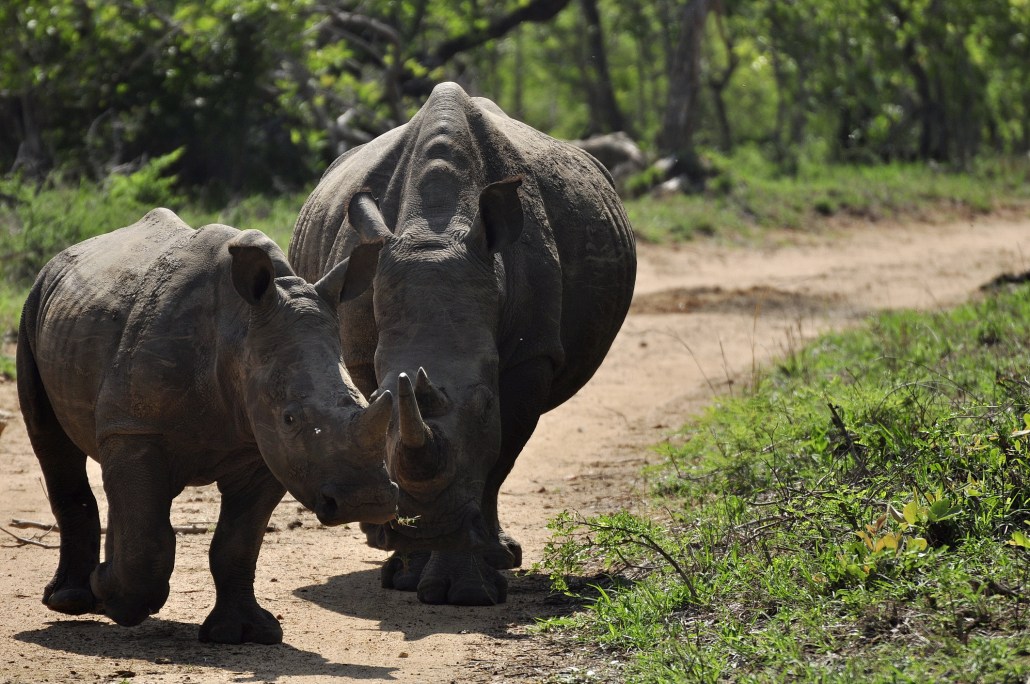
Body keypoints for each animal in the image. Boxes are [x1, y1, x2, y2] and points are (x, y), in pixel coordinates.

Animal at [17, 208, 397, 643]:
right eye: (290, 418)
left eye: (366, 402)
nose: (366, 500)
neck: (237, 329)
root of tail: (63, 258)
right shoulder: (137, 428)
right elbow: (149, 538)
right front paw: (117, 601)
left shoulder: (263, 449)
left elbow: (237, 544)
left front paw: (243, 633)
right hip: (34, 306)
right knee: (52, 444)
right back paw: (73, 602)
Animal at [290, 82, 636, 605]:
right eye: (379, 394)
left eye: (485, 401)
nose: (423, 526)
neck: (434, 230)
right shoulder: (364, 345)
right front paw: (409, 571)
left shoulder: (532, 354)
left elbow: (498, 455)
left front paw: (466, 590)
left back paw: (500, 555)